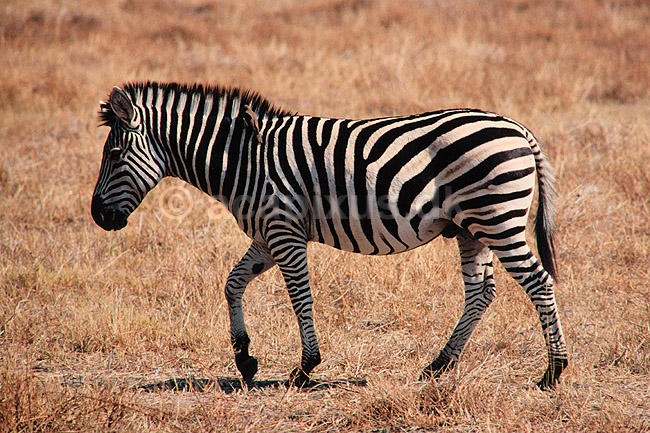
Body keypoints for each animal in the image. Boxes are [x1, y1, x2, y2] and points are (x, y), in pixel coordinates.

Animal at [91, 81, 568, 390]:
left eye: (113, 154)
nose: (97, 217)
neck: (243, 160)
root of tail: (517, 127)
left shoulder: (284, 231)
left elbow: (300, 298)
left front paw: (304, 368)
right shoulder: (267, 233)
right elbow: (232, 282)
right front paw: (244, 358)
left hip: (497, 218)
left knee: (538, 282)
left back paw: (553, 372)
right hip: (471, 229)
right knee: (481, 293)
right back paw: (438, 366)